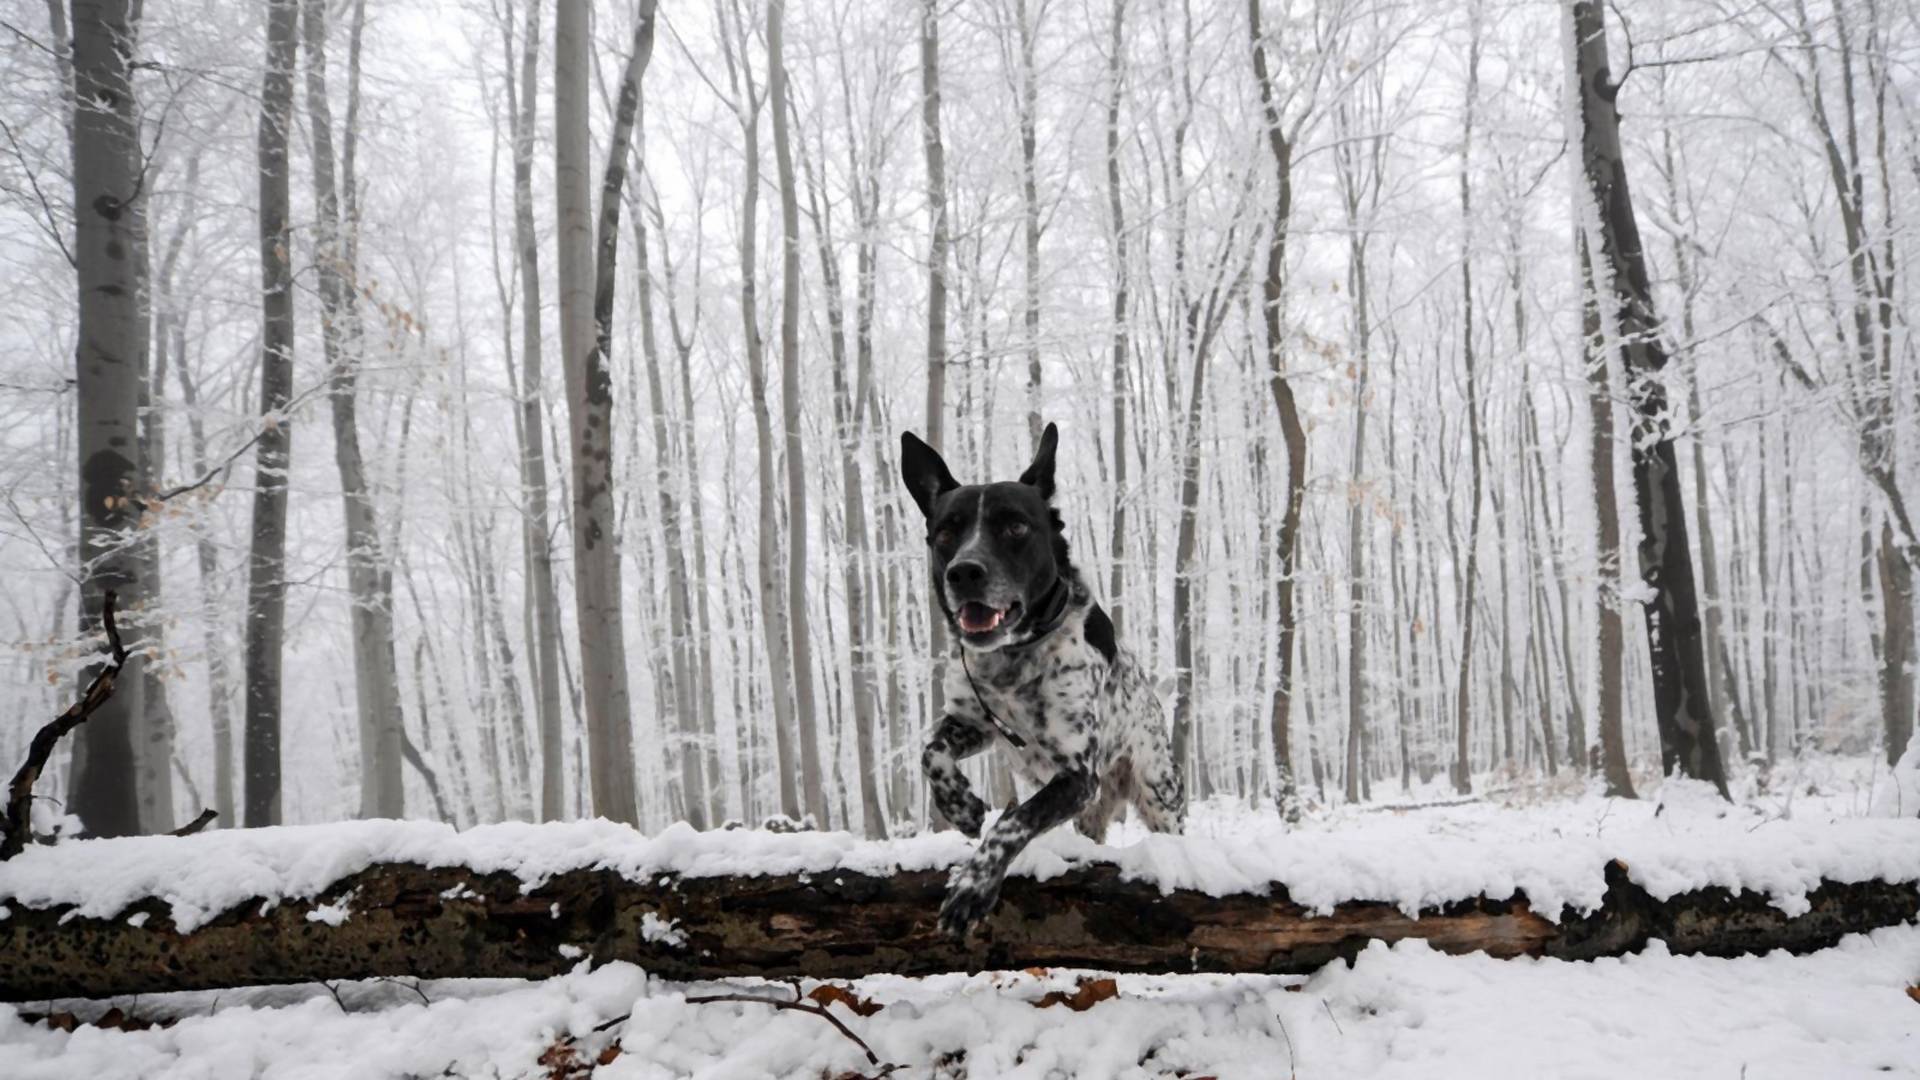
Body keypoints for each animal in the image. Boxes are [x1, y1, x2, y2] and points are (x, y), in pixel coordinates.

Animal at [898, 420, 1182, 933]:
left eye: (1016, 526)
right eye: (946, 532)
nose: (964, 572)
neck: (1013, 657)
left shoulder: (1076, 776)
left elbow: (1014, 822)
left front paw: (972, 889)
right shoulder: (975, 724)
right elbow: (931, 752)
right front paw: (961, 806)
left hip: (1156, 790)